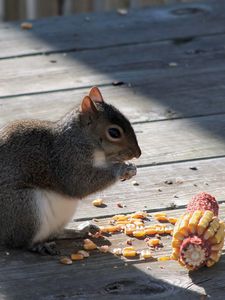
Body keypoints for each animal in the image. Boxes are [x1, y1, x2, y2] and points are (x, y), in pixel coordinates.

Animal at [0, 86, 141, 253]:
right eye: (114, 132)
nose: (138, 153)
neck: (79, 138)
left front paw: (130, 167)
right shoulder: (66, 161)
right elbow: (80, 184)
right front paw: (123, 169)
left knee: (55, 233)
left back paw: (80, 230)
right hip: (24, 208)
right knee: (20, 242)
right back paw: (39, 245)